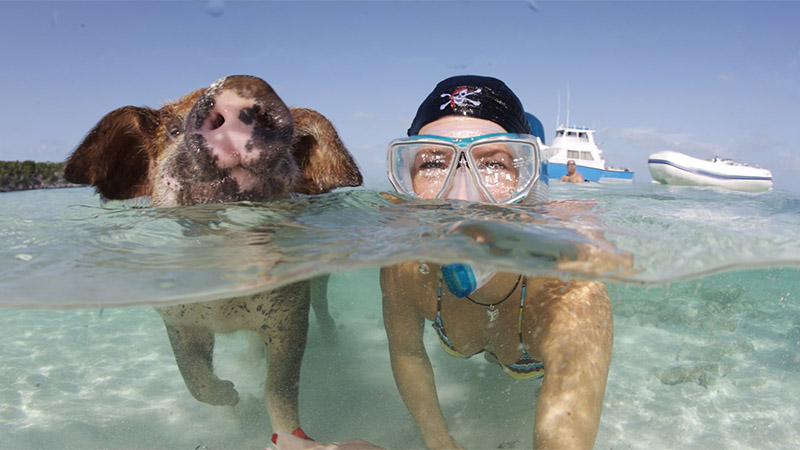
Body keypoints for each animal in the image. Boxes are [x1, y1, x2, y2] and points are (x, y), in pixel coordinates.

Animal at [64, 75, 364, 438]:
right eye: (173, 130)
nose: (240, 84)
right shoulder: (178, 318)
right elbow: (193, 376)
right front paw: (236, 399)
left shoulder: (289, 313)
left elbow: (281, 387)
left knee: (321, 302)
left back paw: (333, 341)